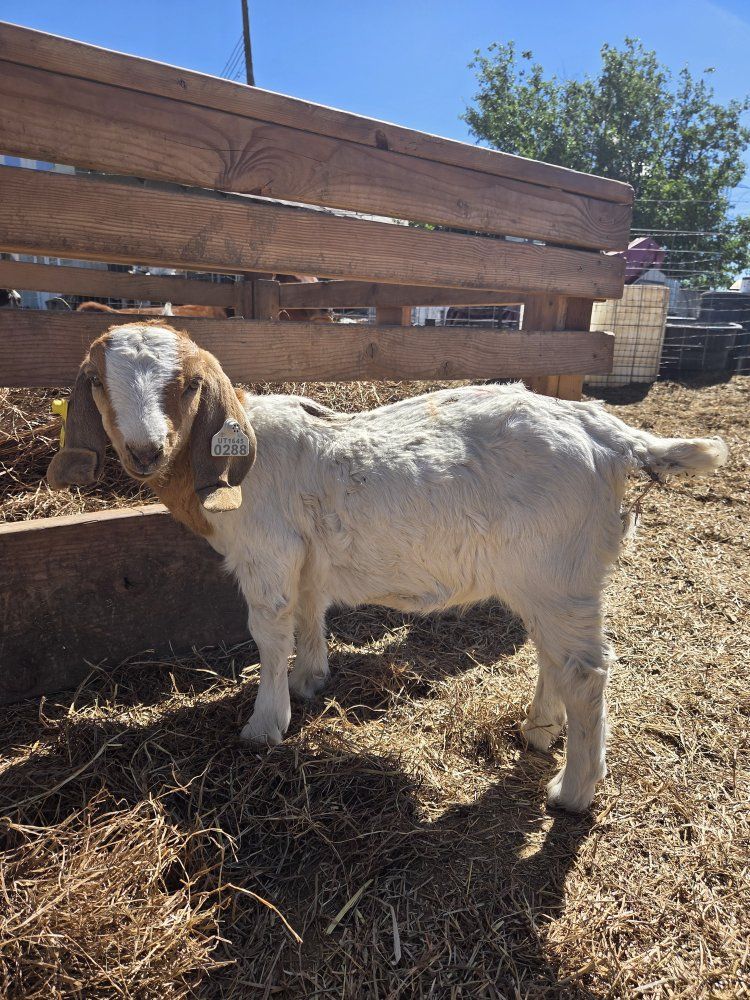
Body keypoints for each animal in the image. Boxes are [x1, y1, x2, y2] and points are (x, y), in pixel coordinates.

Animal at [47, 322, 728, 812]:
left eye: (187, 384)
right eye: (97, 381)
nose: (144, 451)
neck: (236, 459)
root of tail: (611, 435)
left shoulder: (267, 554)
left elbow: (269, 633)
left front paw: (266, 724)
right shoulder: (306, 559)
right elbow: (310, 616)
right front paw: (310, 681)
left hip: (557, 569)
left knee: (586, 672)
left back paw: (574, 793)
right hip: (548, 578)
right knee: (557, 657)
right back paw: (540, 728)